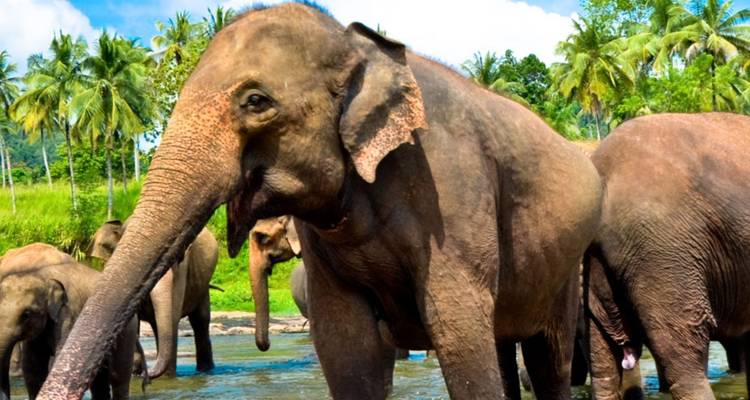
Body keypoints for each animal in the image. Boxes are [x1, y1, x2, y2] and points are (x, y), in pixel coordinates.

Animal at [0, 243, 139, 399]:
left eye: (26, 314)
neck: (41, 276)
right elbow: (32, 368)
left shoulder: (68, 312)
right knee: (99, 381)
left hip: (128, 329)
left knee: (118, 377)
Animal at [89, 219, 219, 378]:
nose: (145, 373)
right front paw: (134, 373)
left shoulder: (182, 268)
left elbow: (173, 317)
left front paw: (166, 378)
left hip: (203, 288)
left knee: (200, 321)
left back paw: (205, 371)